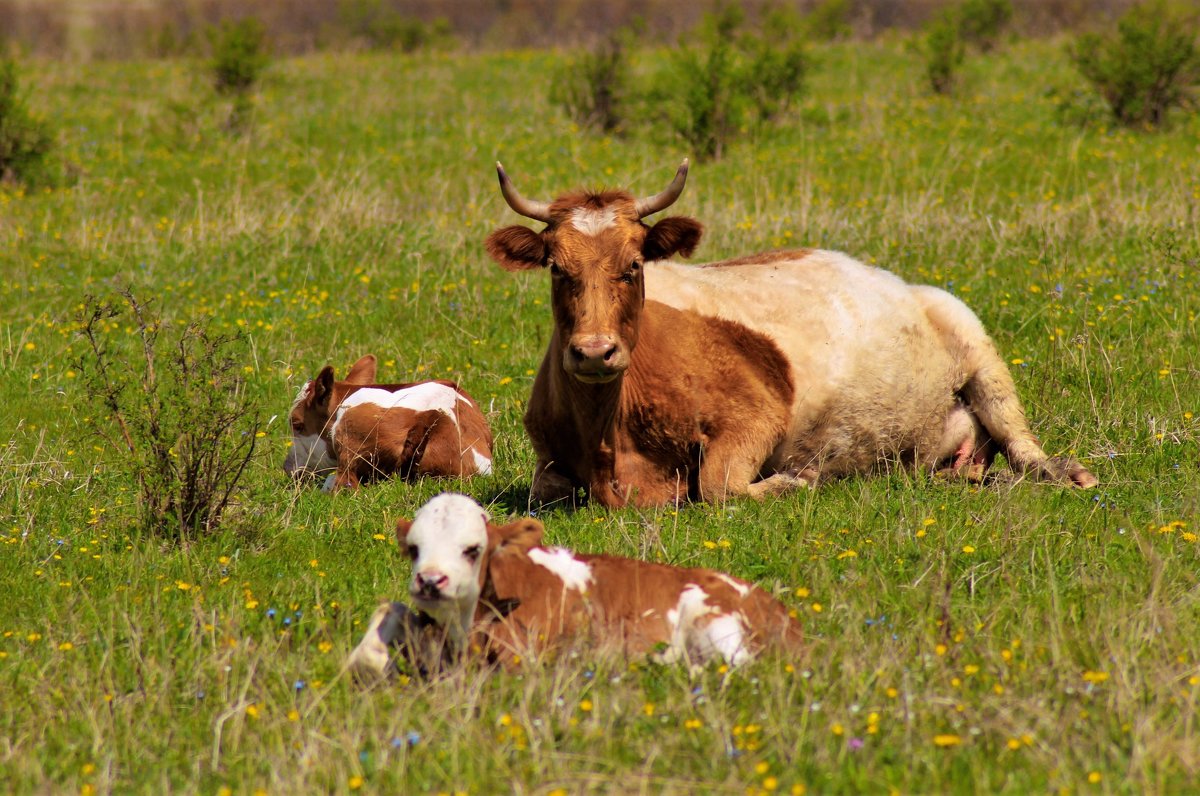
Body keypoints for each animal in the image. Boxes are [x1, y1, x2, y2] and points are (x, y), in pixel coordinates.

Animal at [343, 492, 801, 677]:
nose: (430, 581)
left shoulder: (524, 654)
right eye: (413, 549)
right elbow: (389, 611)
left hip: (713, 623)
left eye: (472, 549)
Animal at [484, 159, 1099, 506]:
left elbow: (718, 487)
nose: (594, 352)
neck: (611, 439)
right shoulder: (546, 454)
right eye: (556, 268)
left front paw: (792, 483)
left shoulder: (755, 417)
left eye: (634, 264)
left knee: (1022, 443)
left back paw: (1067, 474)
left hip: (978, 347)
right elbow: (546, 491)